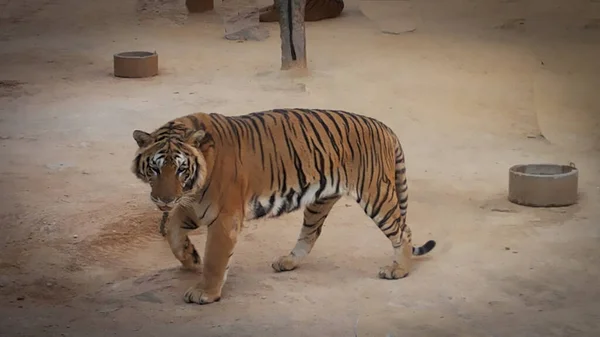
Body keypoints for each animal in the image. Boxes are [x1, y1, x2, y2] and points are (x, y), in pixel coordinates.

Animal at [131, 108, 436, 304]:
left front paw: (205, 292)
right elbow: (172, 230)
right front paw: (190, 257)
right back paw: (287, 261)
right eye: (155, 168)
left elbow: (215, 259)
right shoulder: (193, 206)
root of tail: (384, 127)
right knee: (310, 234)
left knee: (403, 231)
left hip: (377, 196)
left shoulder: (223, 217)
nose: (163, 200)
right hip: (320, 201)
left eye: (181, 169)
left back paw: (398, 270)